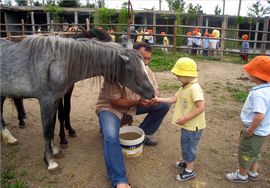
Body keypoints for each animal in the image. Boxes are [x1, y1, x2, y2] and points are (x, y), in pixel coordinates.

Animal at [1, 35, 155, 170]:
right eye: (130, 70)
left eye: (144, 65)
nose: (152, 92)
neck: (56, 64)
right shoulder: (46, 101)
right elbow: (47, 130)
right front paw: (50, 161)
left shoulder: (55, 100)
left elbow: (53, 125)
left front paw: (55, 150)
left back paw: (9, 137)